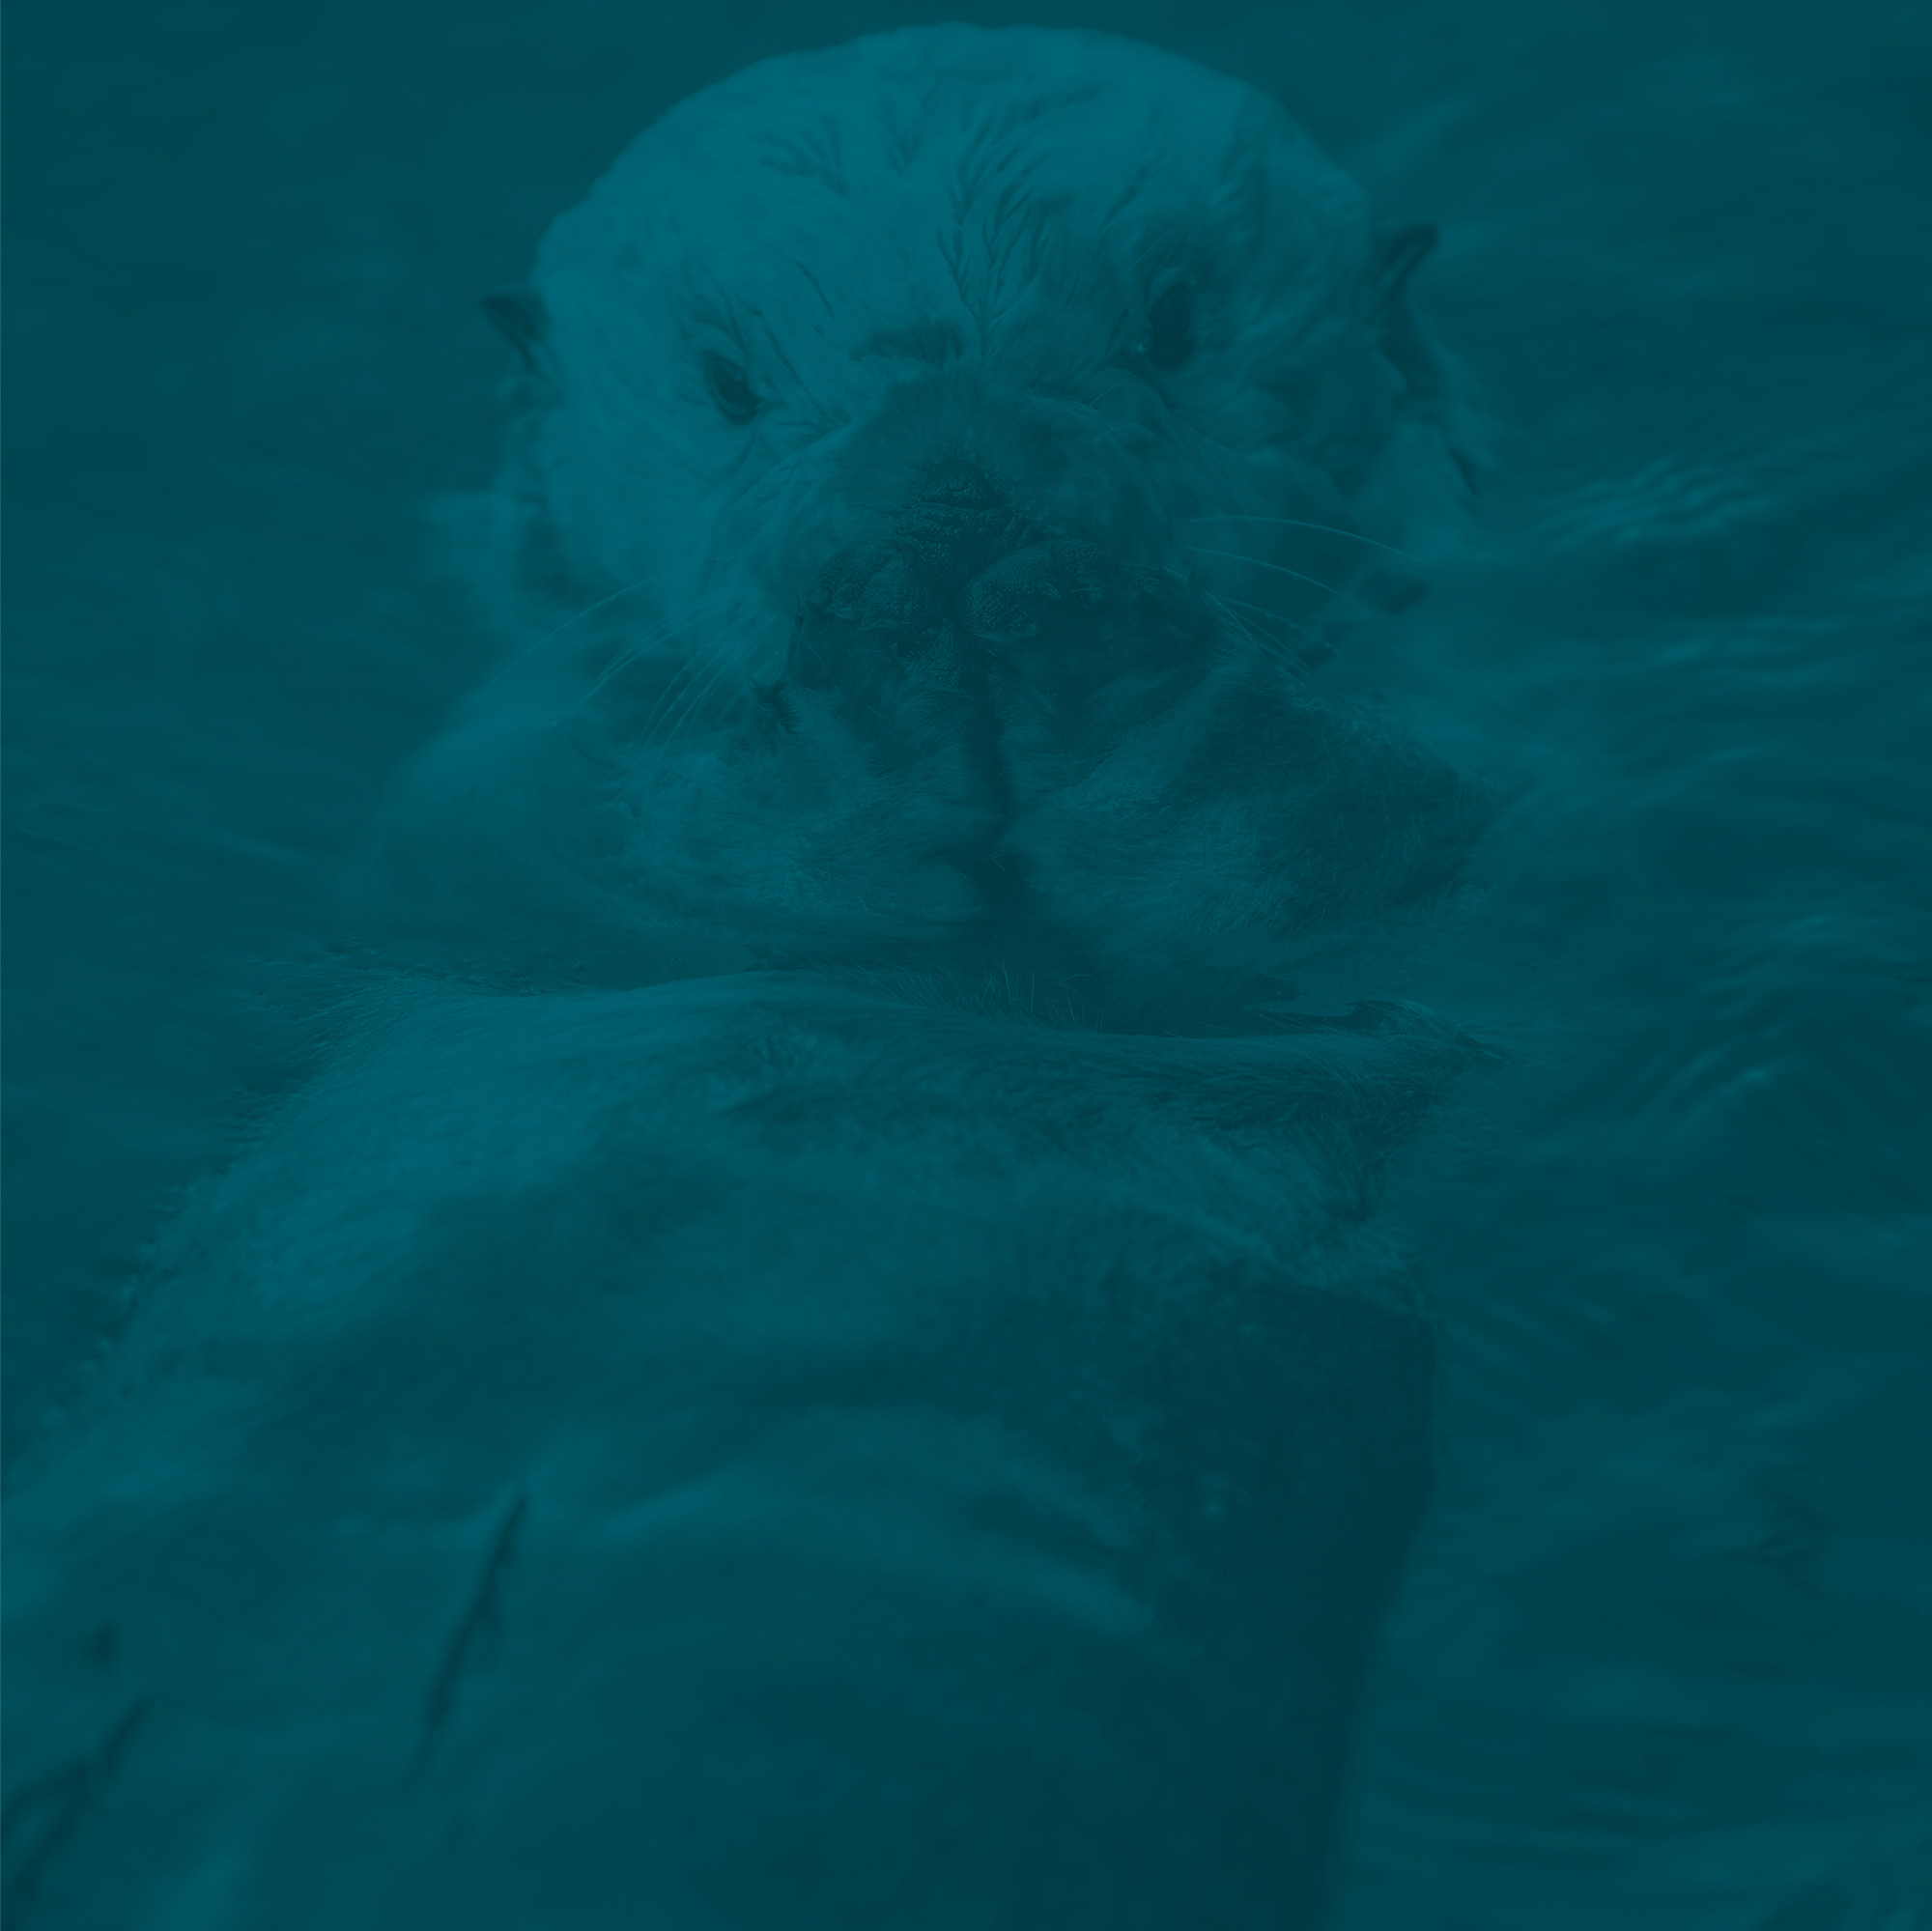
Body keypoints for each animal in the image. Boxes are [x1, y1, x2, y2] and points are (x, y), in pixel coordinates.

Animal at [4, 28, 1487, 1930]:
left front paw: (1089, 660)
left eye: (1166, 321)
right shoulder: (502, 795)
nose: (948, 486)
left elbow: (1341, 849)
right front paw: (873, 691)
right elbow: (609, 853)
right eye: (726, 379)